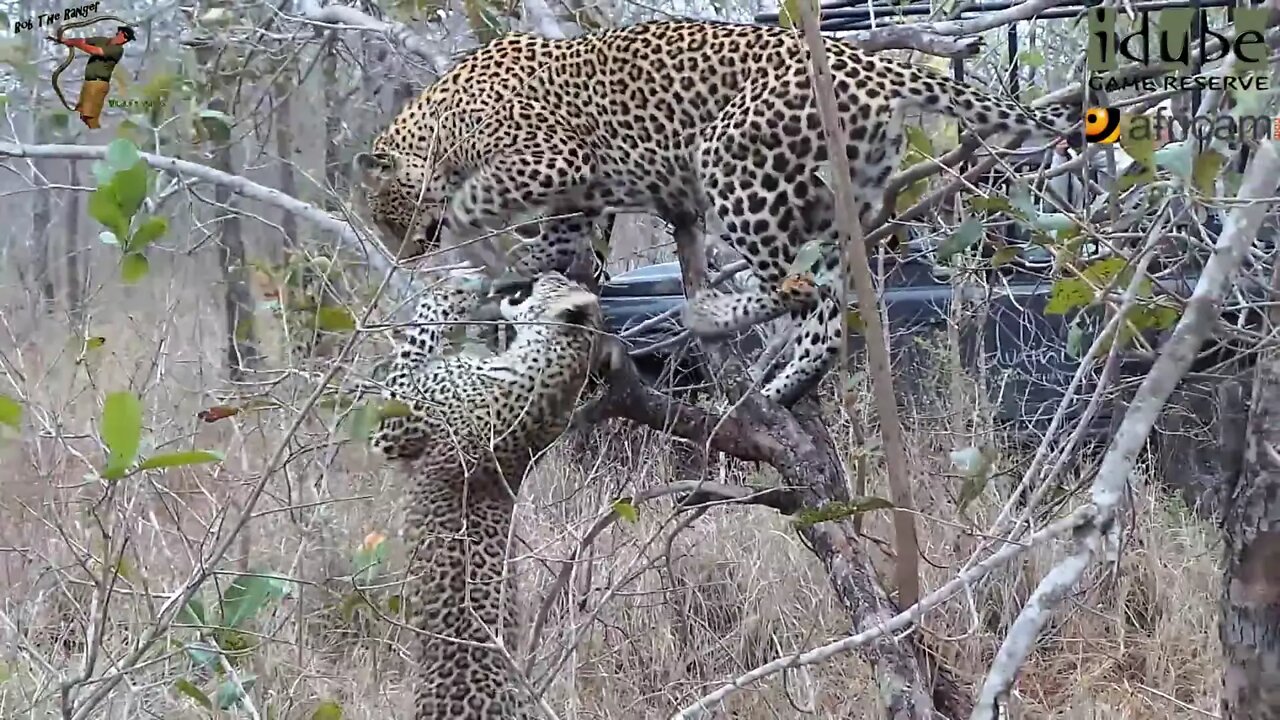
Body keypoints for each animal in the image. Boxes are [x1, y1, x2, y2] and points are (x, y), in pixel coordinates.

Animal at [355, 19, 1085, 407]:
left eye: (388, 219)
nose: (403, 253)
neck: (441, 121)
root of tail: (875, 68)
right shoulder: (573, 205)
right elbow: (544, 250)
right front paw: (490, 280)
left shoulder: (555, 161)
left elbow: (476, 203)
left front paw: (473, 248)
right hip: (839, 200)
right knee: (825, 299)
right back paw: (746, 349)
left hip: (731, 164)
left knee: (804, 293)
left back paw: (737, 340)